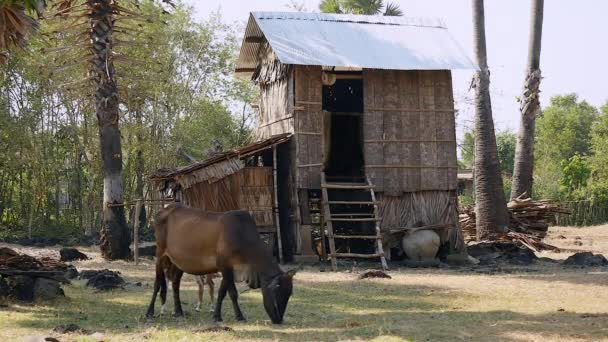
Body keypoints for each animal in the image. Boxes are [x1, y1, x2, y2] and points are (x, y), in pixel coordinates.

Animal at [144, 203, 294, 324]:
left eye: (289, 294)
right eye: (277, 291)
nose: (278, 319)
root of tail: (164, 210)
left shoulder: (229, 269)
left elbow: (222, 292)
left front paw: (217, 316)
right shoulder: (224, 265)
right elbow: (232, 293)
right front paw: (239, 316)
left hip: (178, 262)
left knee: (175, 284)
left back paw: (179, 312)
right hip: (160, 254)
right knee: (157, 284)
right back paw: (150, 312)